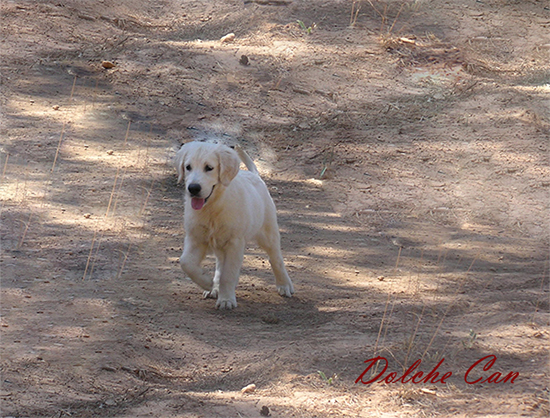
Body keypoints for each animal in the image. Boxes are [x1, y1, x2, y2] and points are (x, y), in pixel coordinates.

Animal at [177, 142, 298, 308]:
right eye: (188, 167)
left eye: (209, 168)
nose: (193, 188)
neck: (213, 207)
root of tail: (255, 176)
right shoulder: (195, 238)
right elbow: (186, 263)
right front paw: (208, 283)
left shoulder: (234, 242)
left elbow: (229, 274)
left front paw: (226, 300)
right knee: (220, 264)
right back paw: (215, 288)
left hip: (268, 233)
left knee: (276, 259)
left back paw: (284, 285)